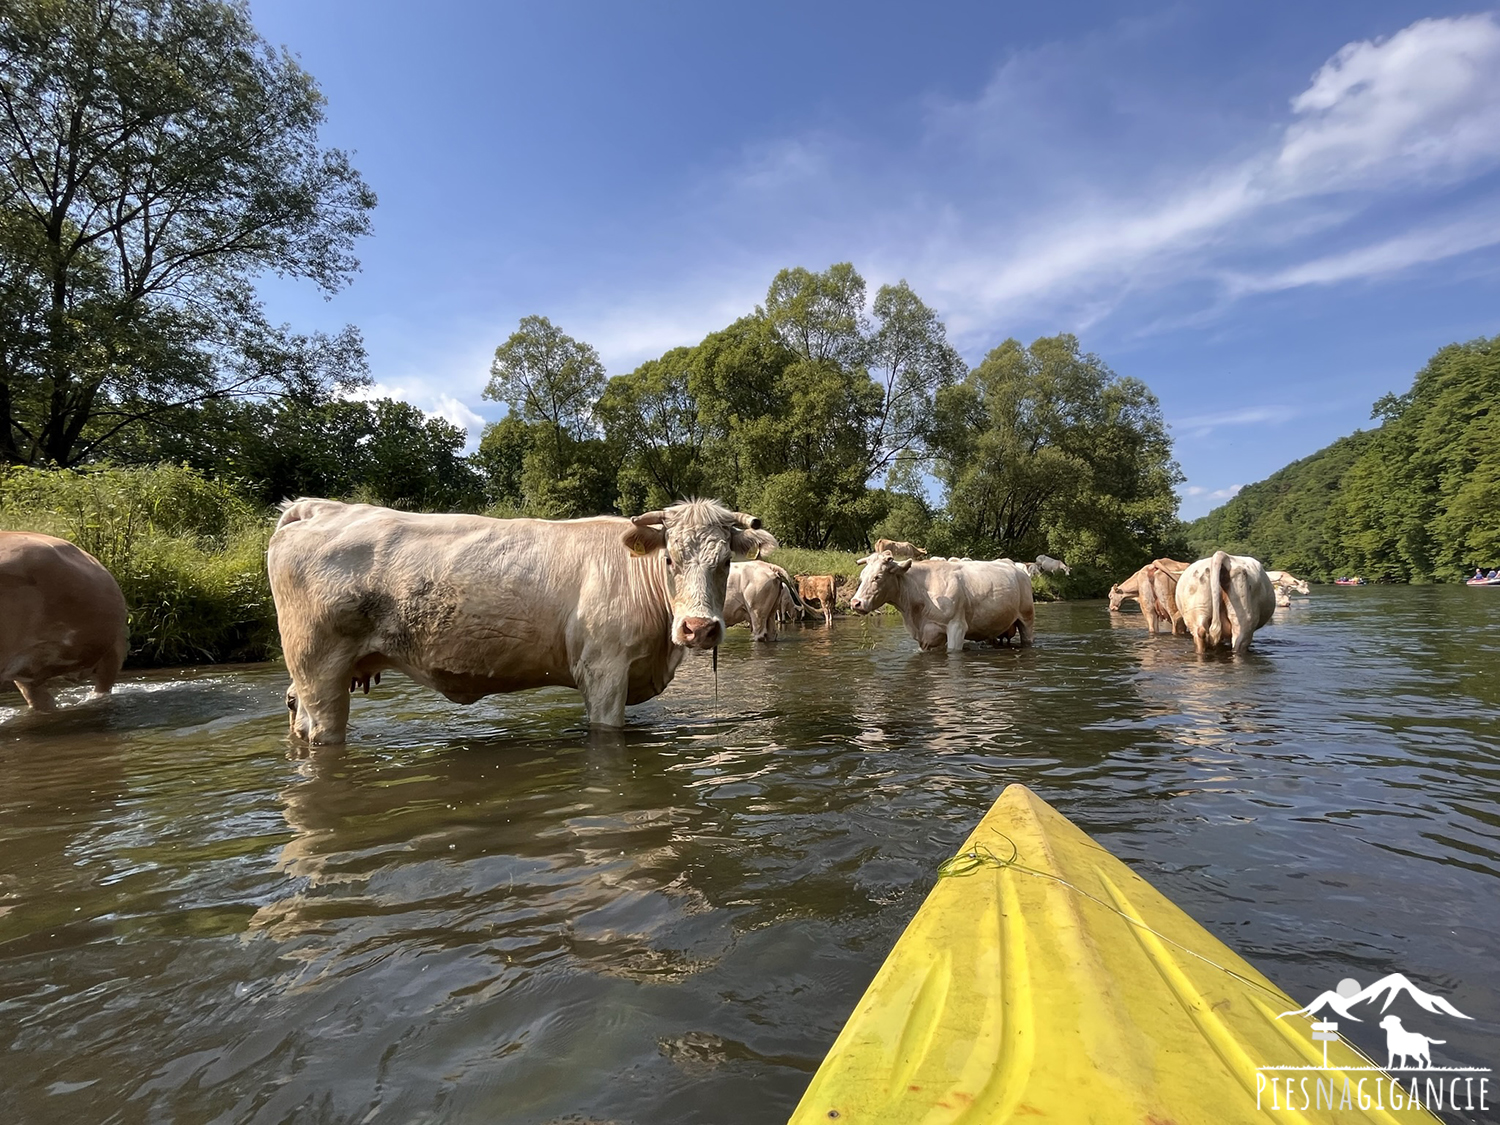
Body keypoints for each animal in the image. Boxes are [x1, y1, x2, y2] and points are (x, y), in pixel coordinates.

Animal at [852, 552, 1038, 648]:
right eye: (861, 577)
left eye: (877, 577)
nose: (855, 603)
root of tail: (1016, 567)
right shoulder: (930, 635)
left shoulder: (956, 627)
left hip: (1027, 618)